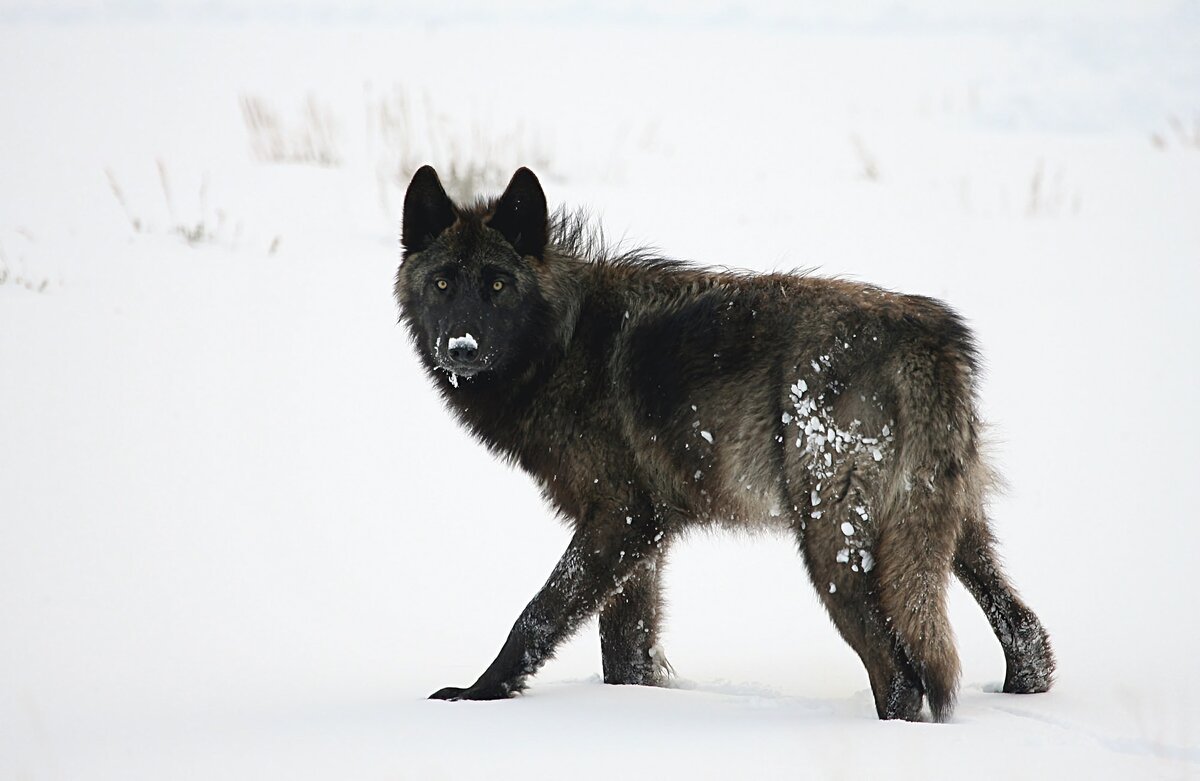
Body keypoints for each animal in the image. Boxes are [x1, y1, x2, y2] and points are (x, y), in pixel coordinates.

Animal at [393, 165, 1051, 719]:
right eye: (444, 283)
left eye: (498, 285)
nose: (461, 347)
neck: (562, 343)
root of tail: (926, 337)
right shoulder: (644, 538)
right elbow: (624, 653)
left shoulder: (619, 519)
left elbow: (537, 615)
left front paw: (476, 695)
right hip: (948, 530)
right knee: (1026, 632)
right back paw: (1022, 687)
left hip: (831, 546)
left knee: (901, 677)